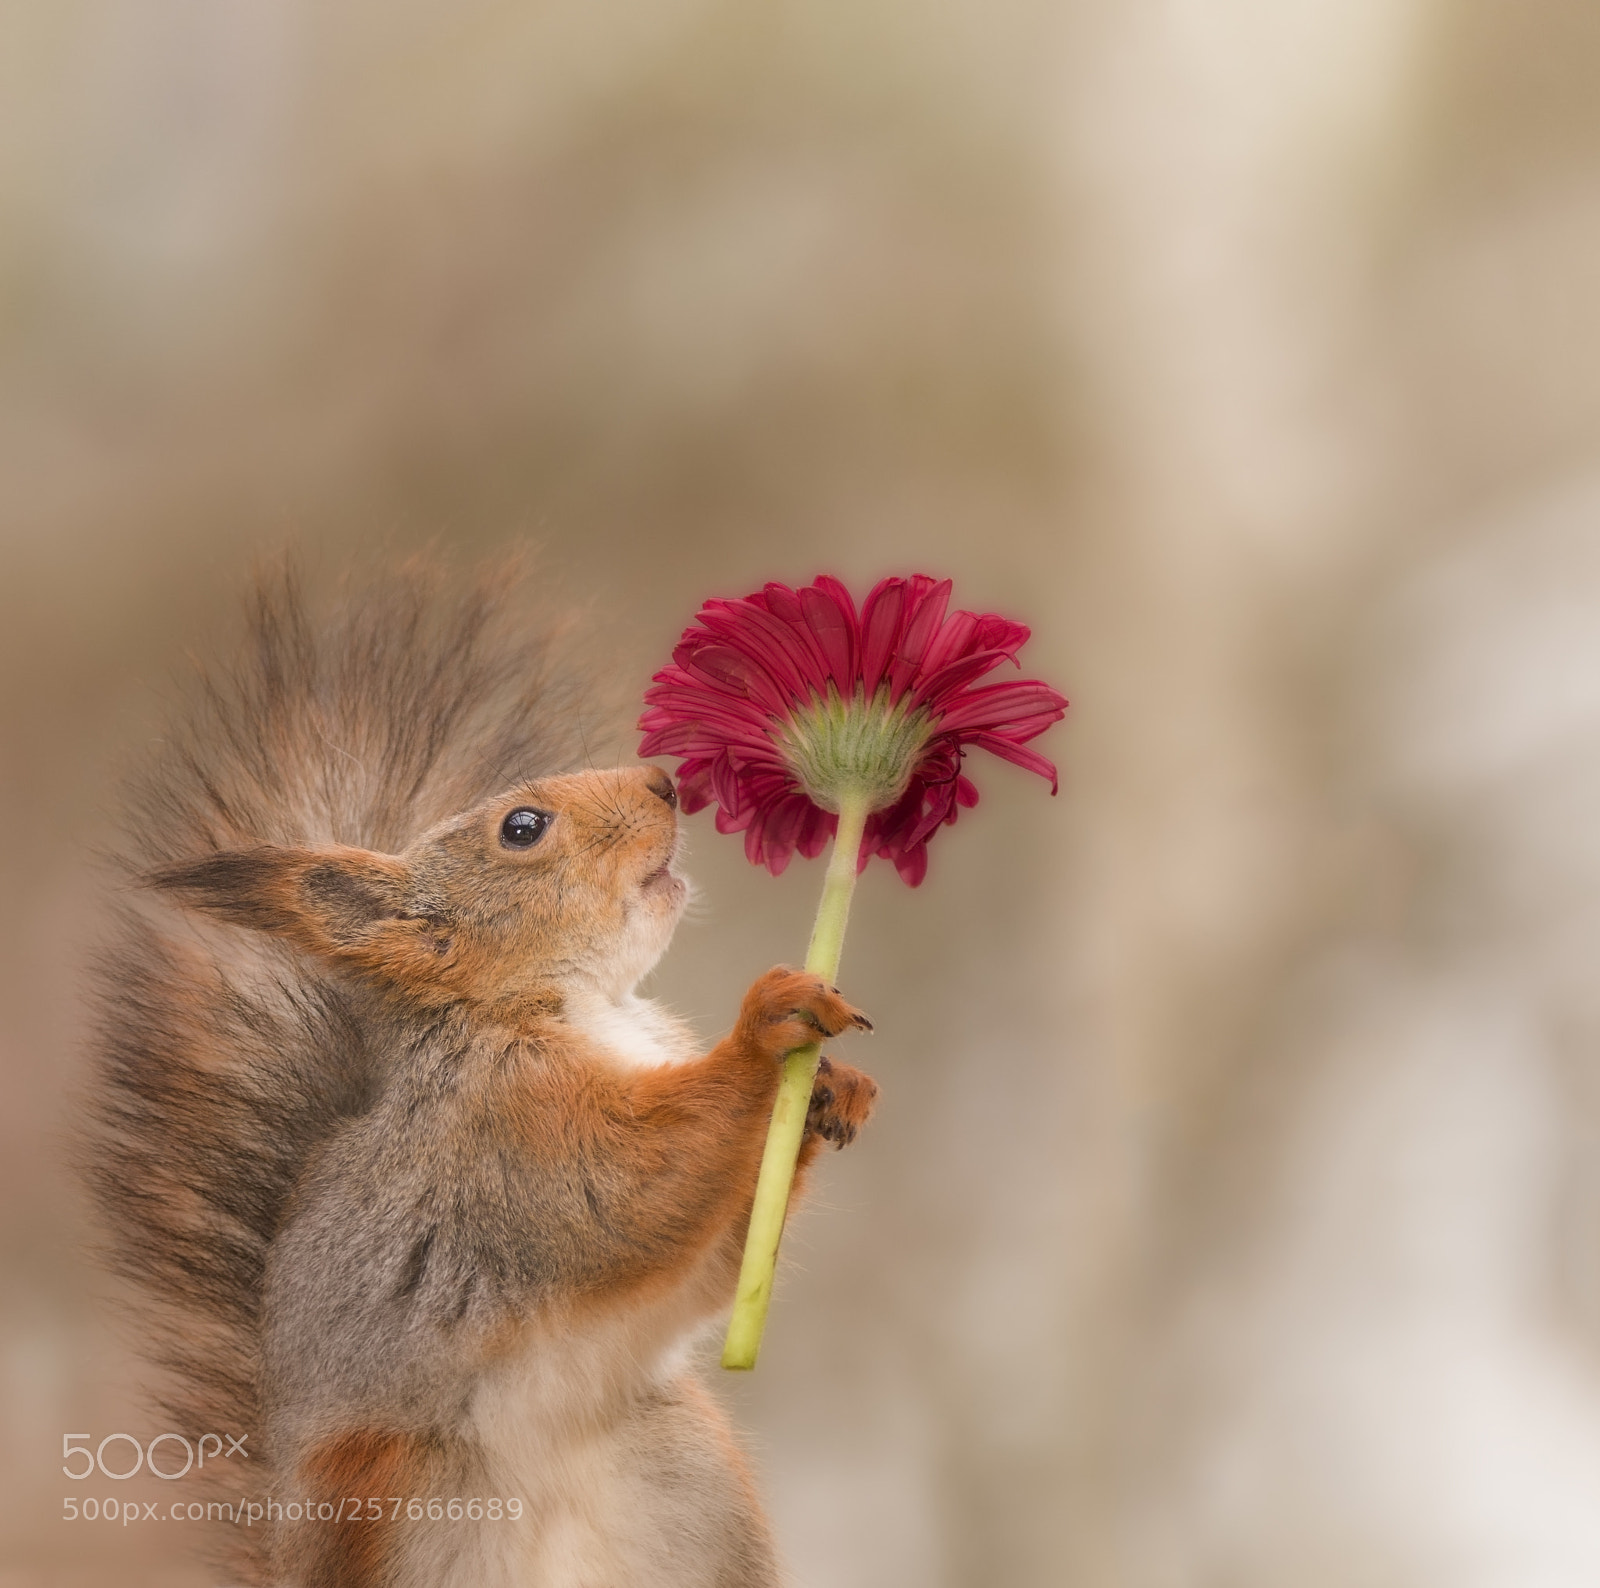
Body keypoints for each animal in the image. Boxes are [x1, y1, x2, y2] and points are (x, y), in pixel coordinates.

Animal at [82, 560, 878, 1588]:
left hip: (687, 1484)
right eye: (522, 827)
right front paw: (765, 1031)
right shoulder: (507, 1132)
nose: (665, 781)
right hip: (406, 1500)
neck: (578, 1006)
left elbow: (717, 1254)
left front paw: (830, 1089)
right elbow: (629, 1188)